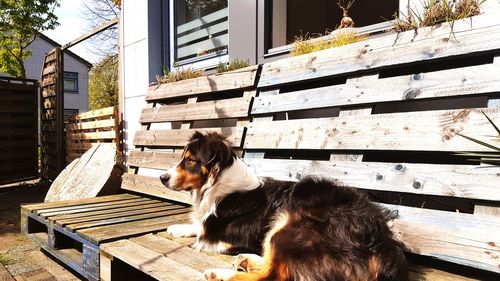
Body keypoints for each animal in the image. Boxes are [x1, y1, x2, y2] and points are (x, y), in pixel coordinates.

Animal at [160, 131, 406, 280]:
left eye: (190, 161)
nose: (162, 178)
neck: (219, 182)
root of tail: (382, 245)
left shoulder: (223, 237)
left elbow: (203, 232)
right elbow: (198, 224)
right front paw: (178, 227)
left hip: (290, 226)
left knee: (273, 276)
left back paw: (219, 273)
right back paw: (245, 260)